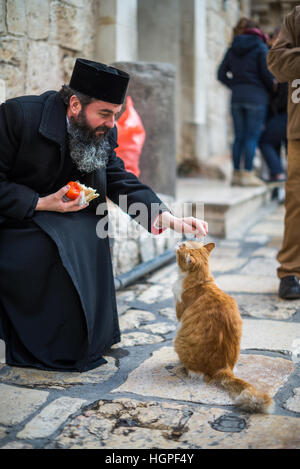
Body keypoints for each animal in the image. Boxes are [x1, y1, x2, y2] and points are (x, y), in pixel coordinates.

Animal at [173, 239, 274, 412]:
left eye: (184, 246)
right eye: (188, 241)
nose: (180, 241)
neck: (201, 281)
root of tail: (224, 368)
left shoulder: (180, 313)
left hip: (178, 340)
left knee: (195, 372)